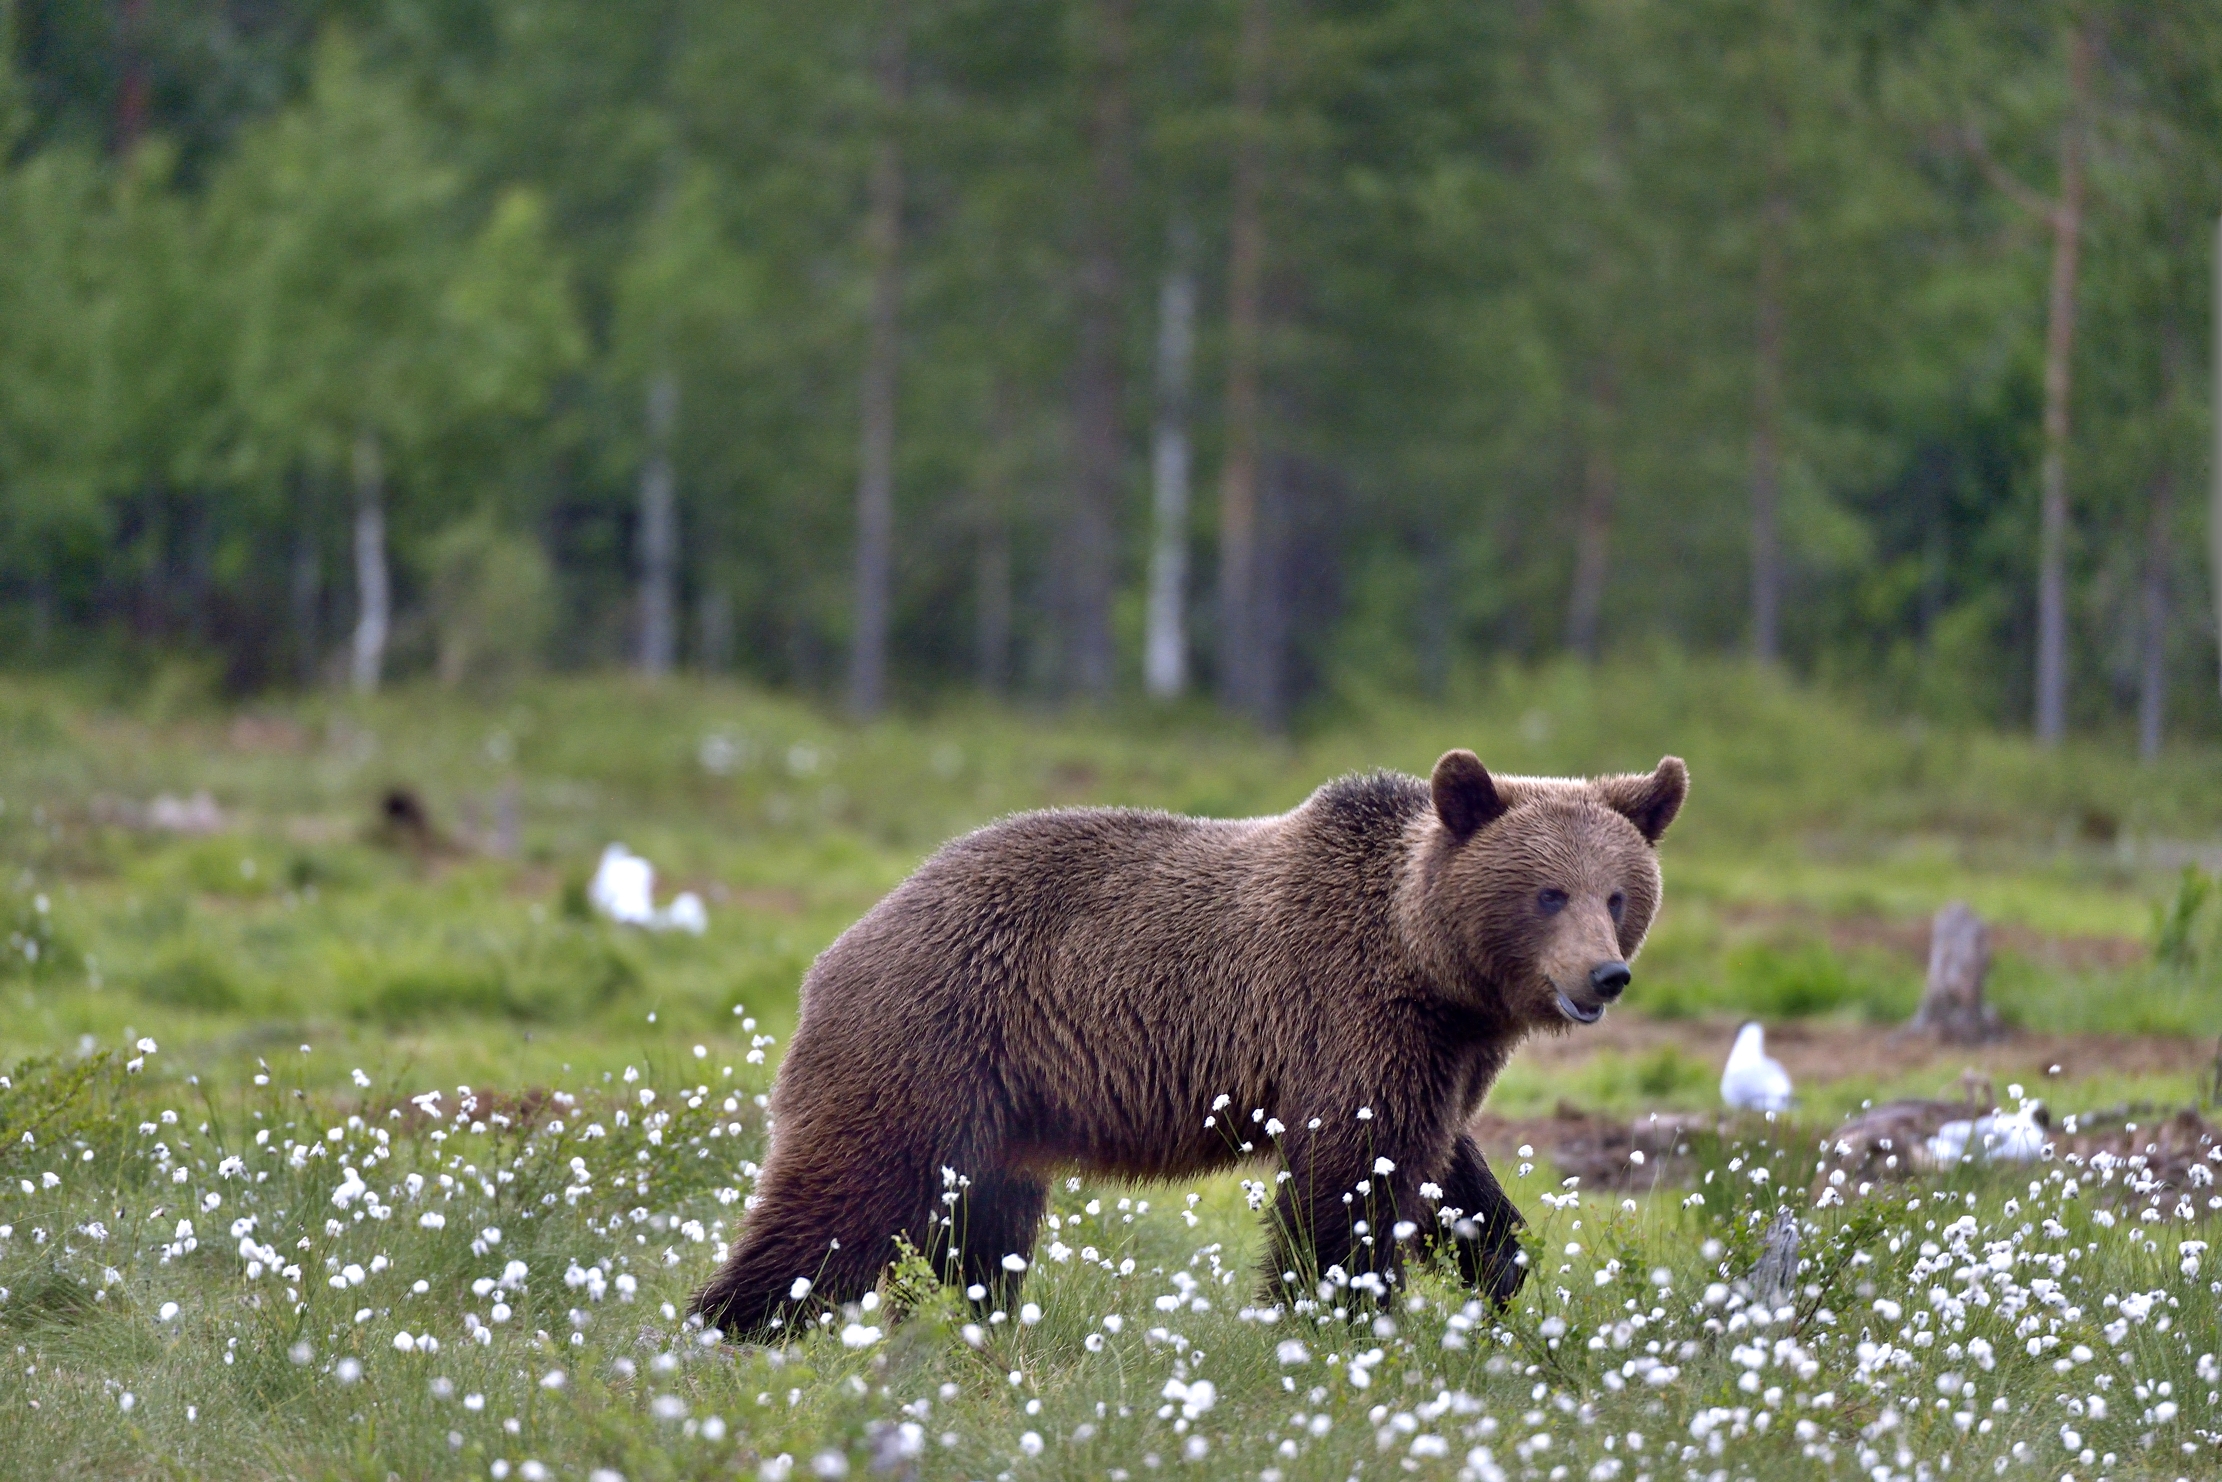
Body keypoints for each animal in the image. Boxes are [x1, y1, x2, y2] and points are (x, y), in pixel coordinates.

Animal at [693, 748, 1687, 1338]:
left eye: (1619, 894)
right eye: (1548, 893)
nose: (1603, 976)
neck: (1431, 967)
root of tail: (841, 946)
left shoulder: (1441, 1055)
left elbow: (1447, 1172)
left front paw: (1502, 1274)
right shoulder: (1349, 1015)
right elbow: (1351, 1180)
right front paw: (1336, 1317)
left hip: (1000, 1103)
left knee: (983, 1217)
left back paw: (991, 1317)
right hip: (931, 1039)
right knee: (847, 1199)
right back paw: (735, 1322)